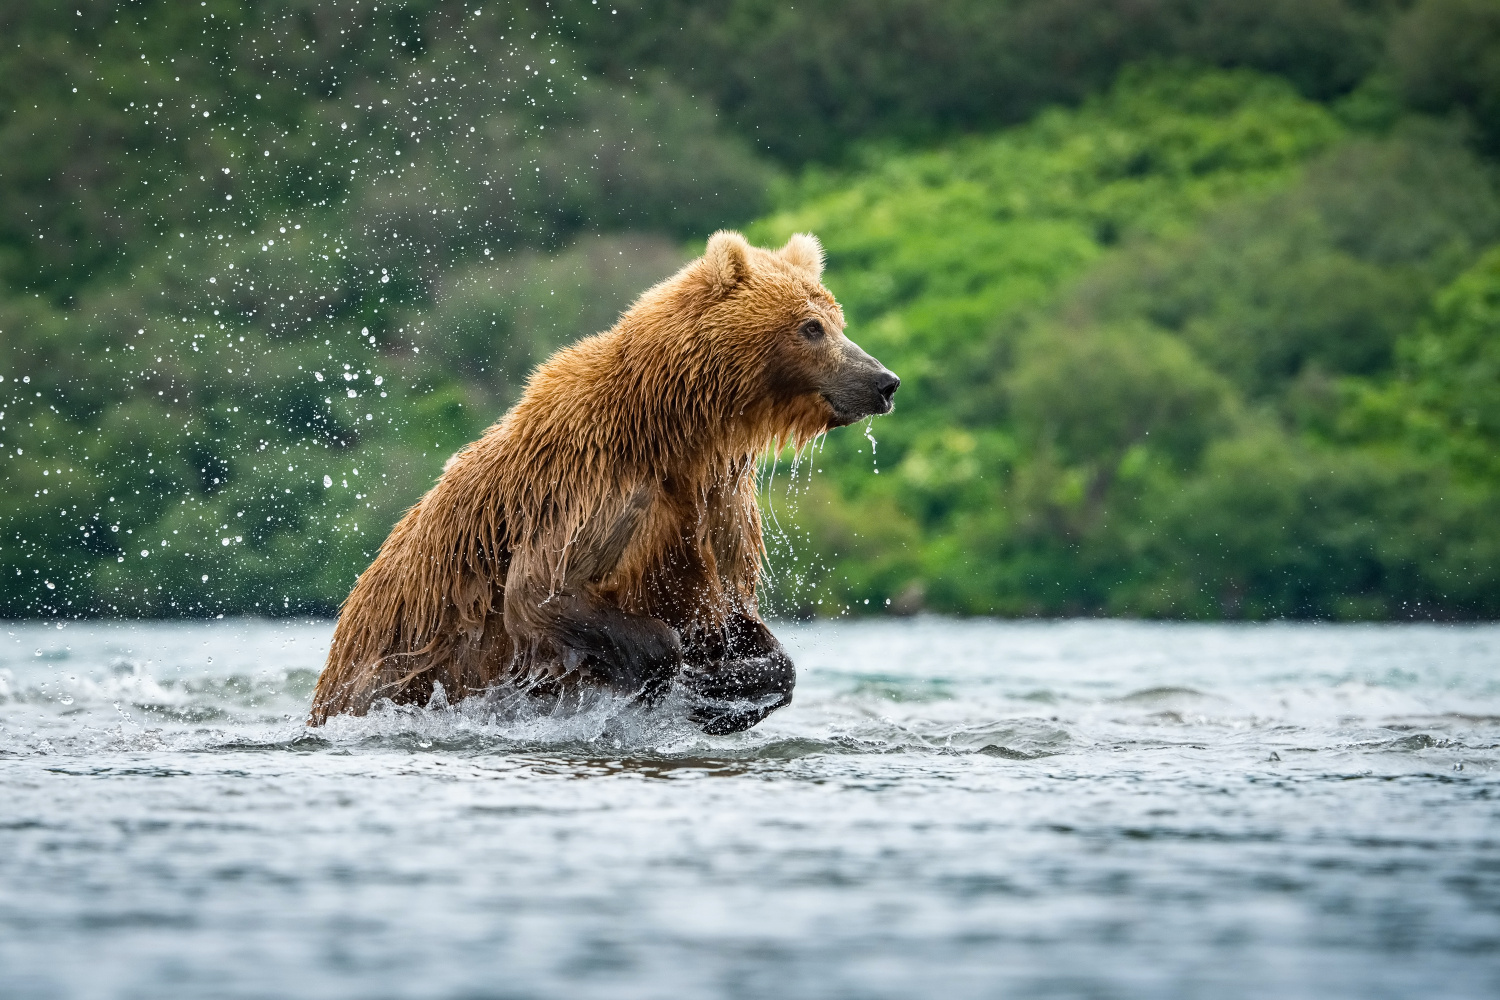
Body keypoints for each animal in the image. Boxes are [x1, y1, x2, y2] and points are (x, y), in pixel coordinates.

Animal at [309, 235, 894, 734]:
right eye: (811, 326)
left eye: (837, 319)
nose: (884, 381)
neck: (676, 428)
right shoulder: (593, 481)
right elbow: (541, 590)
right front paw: (669, 675)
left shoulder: (716, 500)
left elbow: (734, 616)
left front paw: (727, 686)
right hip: (391, 665)